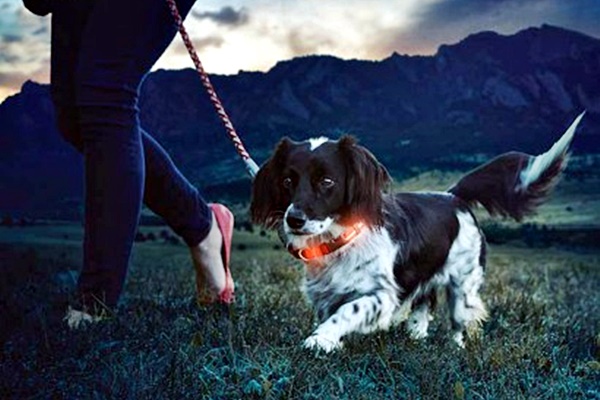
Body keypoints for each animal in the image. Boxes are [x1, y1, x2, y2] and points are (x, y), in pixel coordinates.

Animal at [251, 111, 584, 352]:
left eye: (327, 181)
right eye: (287, 181)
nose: (294, 219)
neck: (341, 240)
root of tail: (453, 195)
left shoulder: (382, 295)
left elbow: (347, 311)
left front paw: (320, 340)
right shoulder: (325, 293)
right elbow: (332, 312)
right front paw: (330, 339)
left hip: (463, 287)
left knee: (458, 323)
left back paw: (455, 349)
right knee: (425, 304)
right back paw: (416, 337)